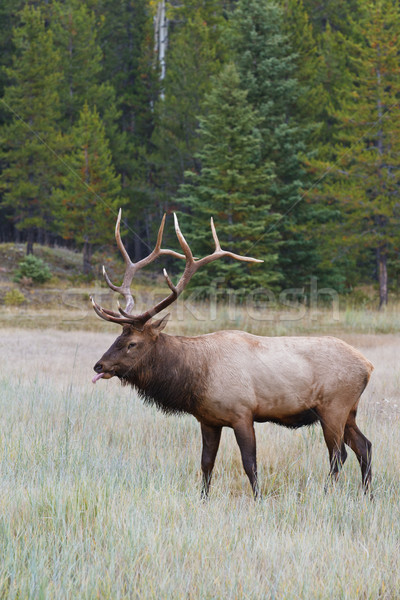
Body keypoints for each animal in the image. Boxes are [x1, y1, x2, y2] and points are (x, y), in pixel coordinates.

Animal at [92, 211, 374, 496]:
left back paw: (328, 493)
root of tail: (368, 366)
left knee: (338, 455)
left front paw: (258, 499)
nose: (99, 366)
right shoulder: (208, 420)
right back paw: (367, 495)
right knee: (365, 446)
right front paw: (203, 499)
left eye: (132, 343)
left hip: (334, 407)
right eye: (118, 337)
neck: (196, 377)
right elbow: (206, 464)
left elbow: (250, 464)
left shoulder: (243, 414)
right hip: (349, 411)